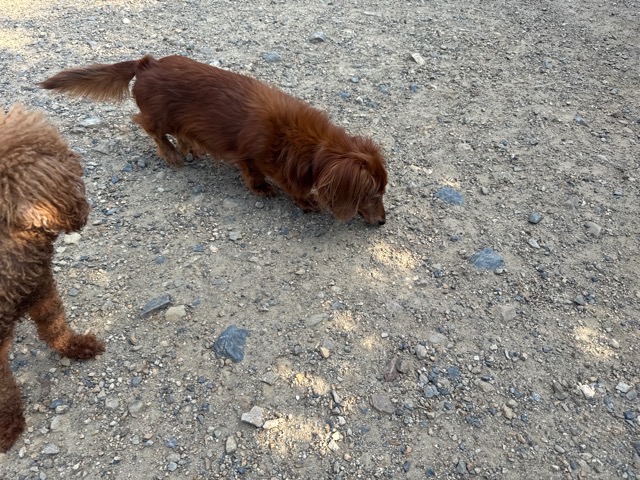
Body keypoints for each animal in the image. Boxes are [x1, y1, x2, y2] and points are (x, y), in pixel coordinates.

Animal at [0, 105, 105, 452]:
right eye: (59, 153)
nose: (76, 157)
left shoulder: (43, 290)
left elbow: (55, 327)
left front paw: (77, 347)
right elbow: (4, 391)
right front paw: (9, 428)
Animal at [40, 55, 388, 225]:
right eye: (371, 196)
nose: (383, 222)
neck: (307, 143)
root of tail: (147, 63)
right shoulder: (252, 156)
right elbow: (263, 177)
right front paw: (285, 195)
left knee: (181, 132)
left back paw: (190, 147)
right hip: (160, 115)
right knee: (151, 128)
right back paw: (172, 155)